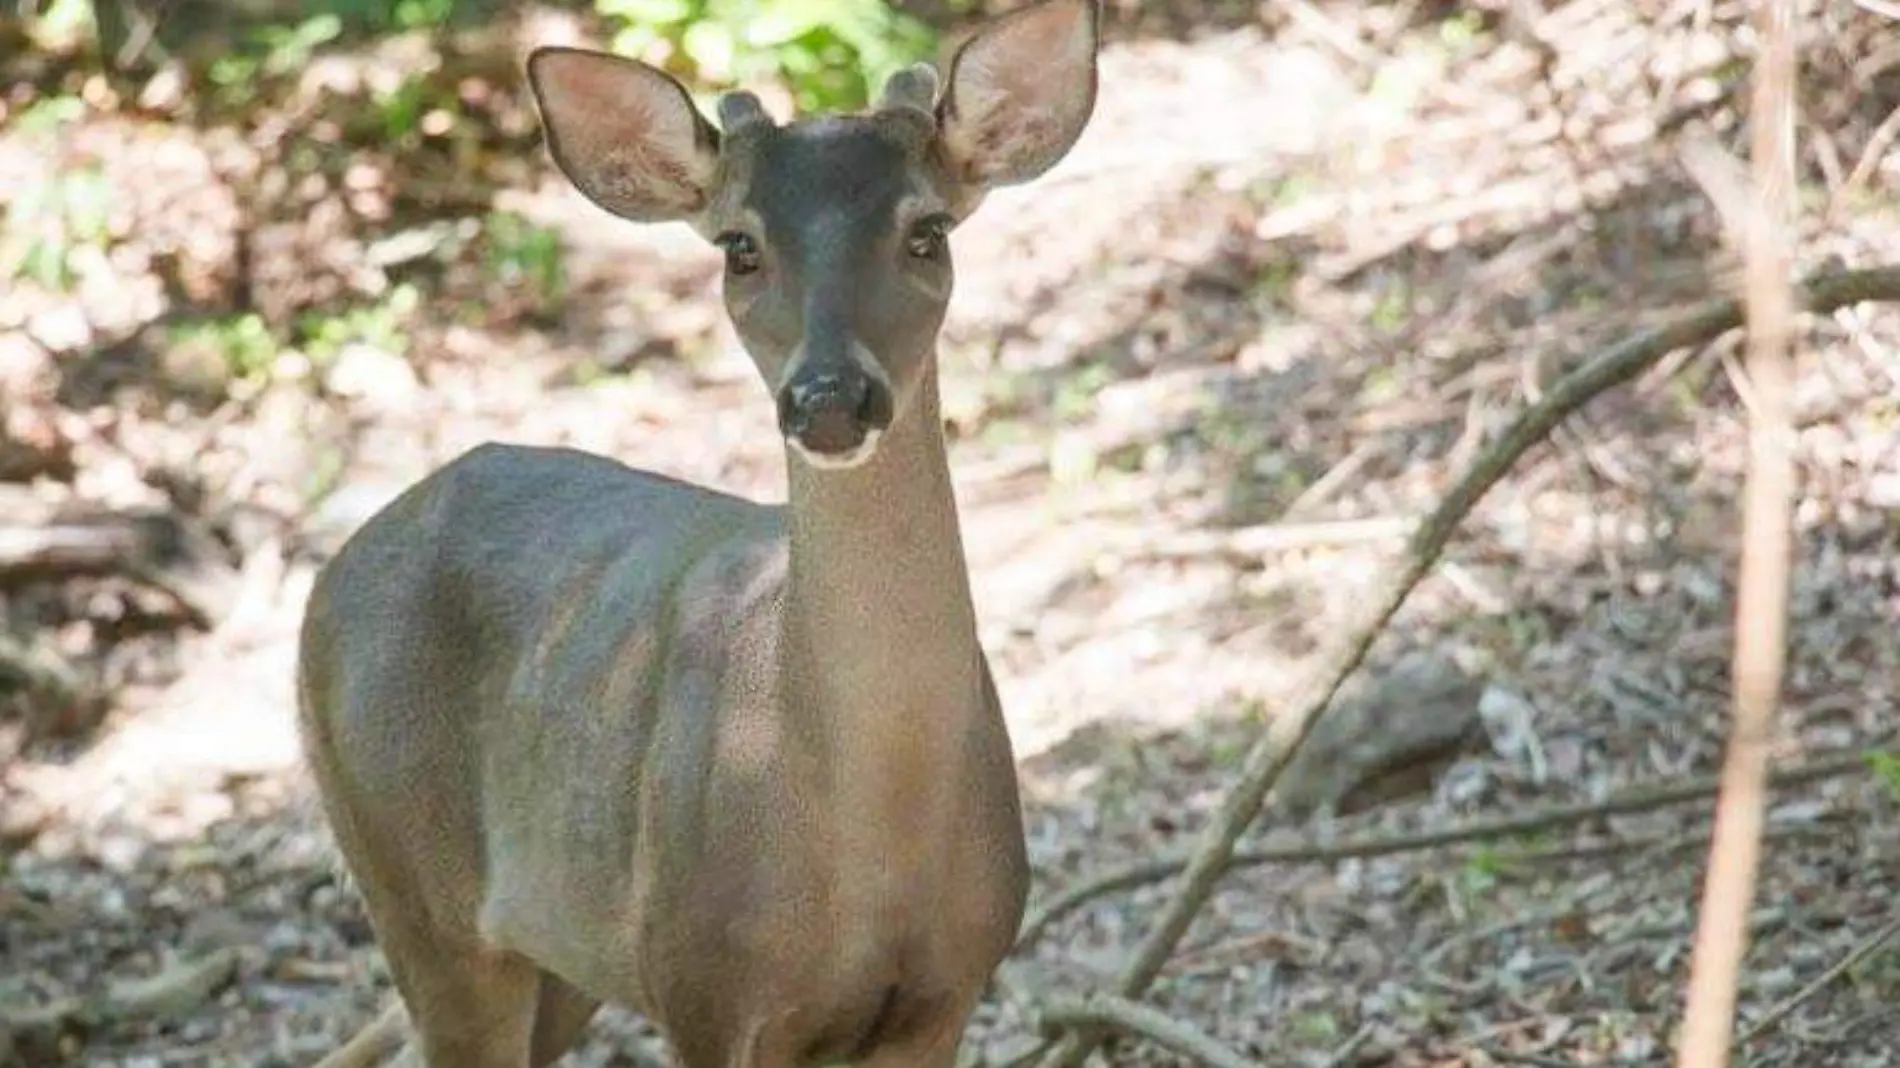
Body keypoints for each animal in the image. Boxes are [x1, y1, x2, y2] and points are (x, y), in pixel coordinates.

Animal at [294, 2, 1102, 1064]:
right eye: (738, 246)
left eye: (927, 230)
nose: (830, 398)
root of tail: (327, 580)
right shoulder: (705, 985)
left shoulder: (949, 985)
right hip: (417, 888)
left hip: (559, 952)